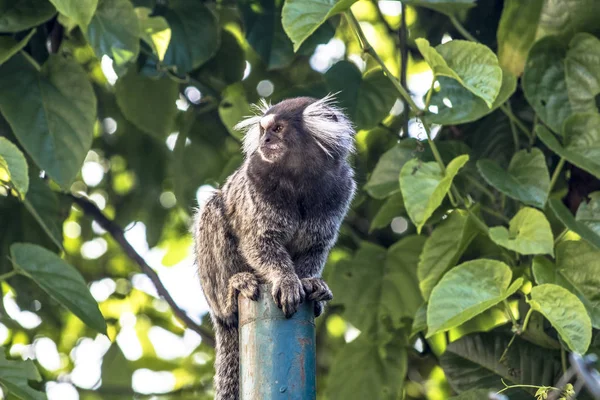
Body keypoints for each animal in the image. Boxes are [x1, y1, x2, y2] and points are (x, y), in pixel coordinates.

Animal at [192, 95, 354, 398]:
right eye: (263, 130)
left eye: (278, 129)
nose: (265, 140)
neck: (300, 177)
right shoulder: (256, 183)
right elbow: (260, 241)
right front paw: (286, 279)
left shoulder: (340, 189)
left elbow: (314, 249)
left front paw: (310, 282)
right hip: (212, 290)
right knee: (212, 209)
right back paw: (233, 289)